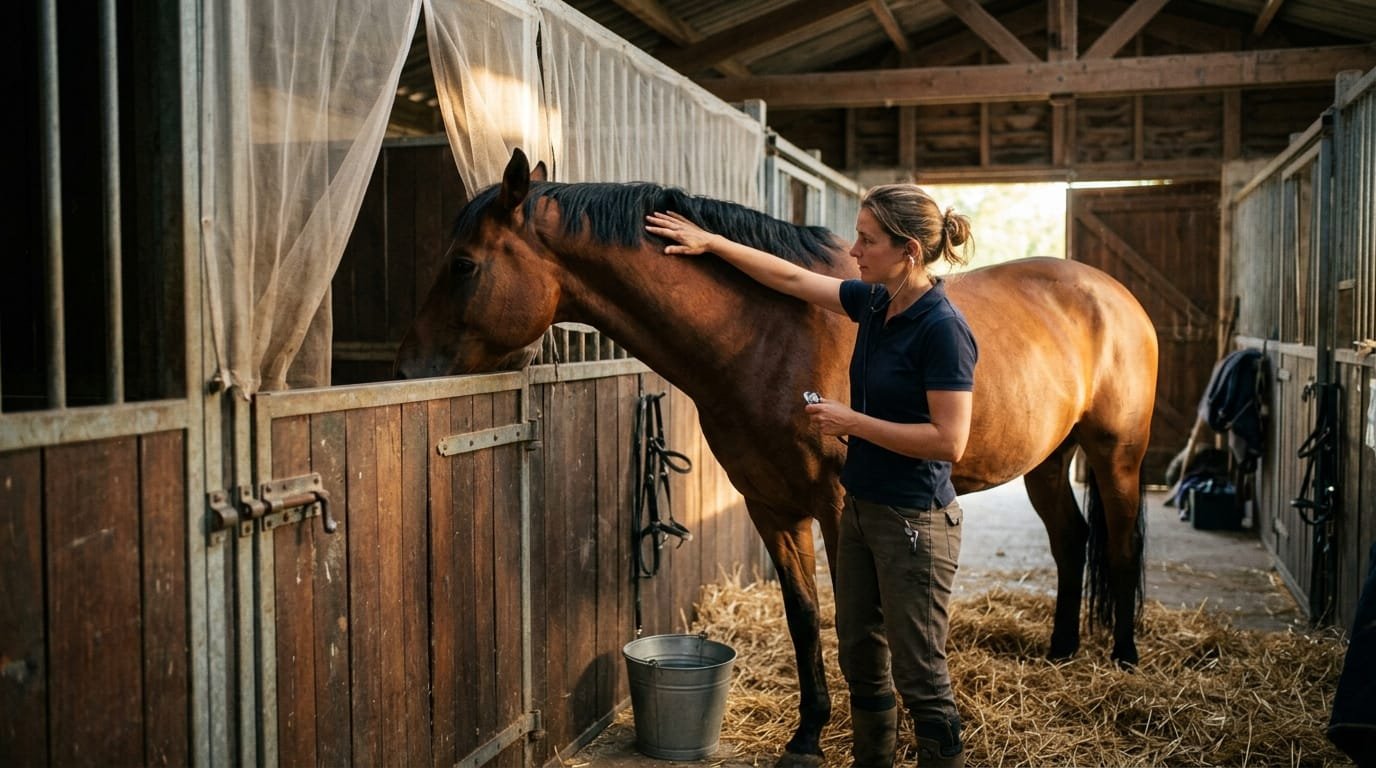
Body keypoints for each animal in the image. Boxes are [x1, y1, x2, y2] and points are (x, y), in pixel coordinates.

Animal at [396, 149, 1157, 767]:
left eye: (463, 266)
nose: (406, 371)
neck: (768, 332)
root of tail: (1114, 294)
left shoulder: (844, 509)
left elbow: (862, 630)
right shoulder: (772, 507)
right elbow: (803, 618)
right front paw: (808, 736)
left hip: (1116, 455)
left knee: (1118, 545)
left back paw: (1124, 662)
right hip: (1048, 462)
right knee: (1071, 540)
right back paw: (1062, 652)